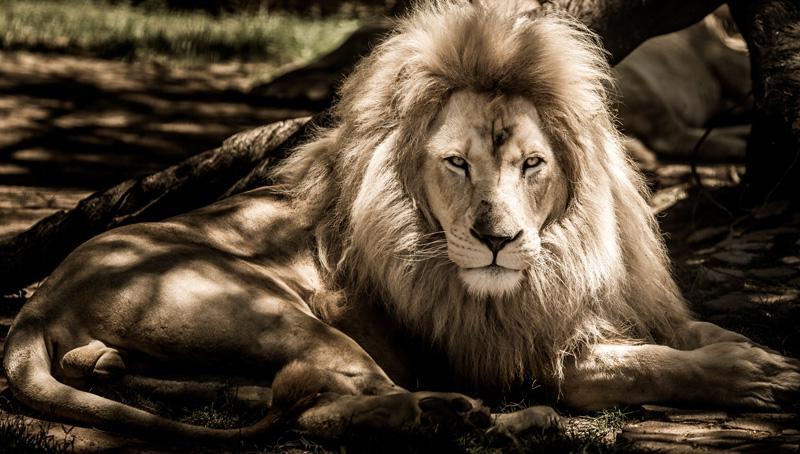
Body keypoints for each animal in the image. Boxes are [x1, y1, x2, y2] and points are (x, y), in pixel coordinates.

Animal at [4, 0, 799, 441]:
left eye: (531, 165)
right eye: (455, 164)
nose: (497, 241)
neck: (564, 252)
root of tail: (43, 298)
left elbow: (687, 332)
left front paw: (746, 349)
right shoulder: (515, 354)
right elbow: (637, 366)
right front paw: (752, 374)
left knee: (277, 396)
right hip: (274, 313)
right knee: (331, 407)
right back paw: (480, 419)